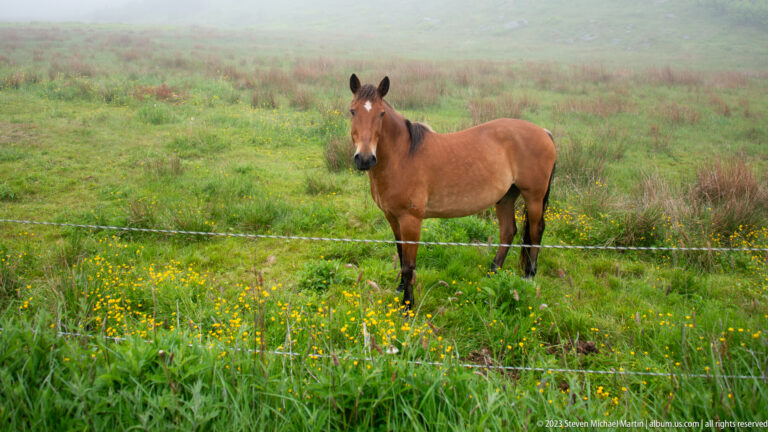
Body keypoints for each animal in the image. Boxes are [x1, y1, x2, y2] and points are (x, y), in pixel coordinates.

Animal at [348, 74, 556, 310]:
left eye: (381, 113)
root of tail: (544, 132)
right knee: (508, 231)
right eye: (352, 111)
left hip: (534, 197)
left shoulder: (411, 220)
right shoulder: (392, 217)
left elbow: (409, 265)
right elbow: (400, 255)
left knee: (536, 231)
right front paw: (400, 289)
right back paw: (493, 274)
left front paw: (408, 306)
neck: (403, 156)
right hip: (506, 197)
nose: (365, 159)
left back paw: (528, 277)